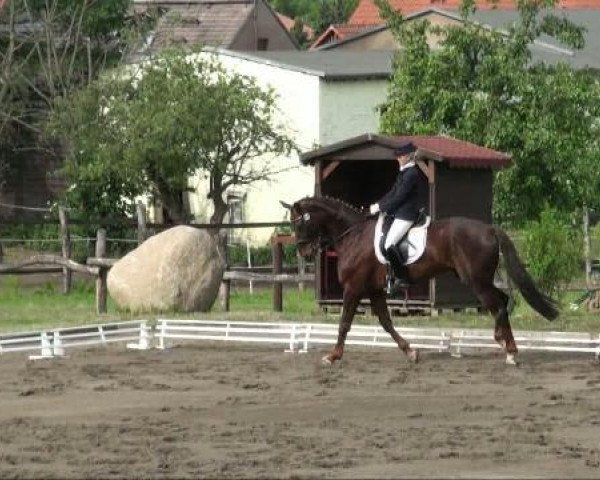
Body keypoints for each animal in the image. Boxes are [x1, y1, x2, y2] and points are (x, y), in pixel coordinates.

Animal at [282, 195, 556, 364]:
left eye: (299, 224)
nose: (304, 252)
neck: (353, 234)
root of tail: (489, 229)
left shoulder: (354, 287)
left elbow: (344, 324)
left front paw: (333, 356)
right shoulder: (374, 290)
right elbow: (386, 323)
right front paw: (411, 352)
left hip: (476, 281)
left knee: (498, 305)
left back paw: (505, 346)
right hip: (480, 280)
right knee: (504, 301)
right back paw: (509, 349)